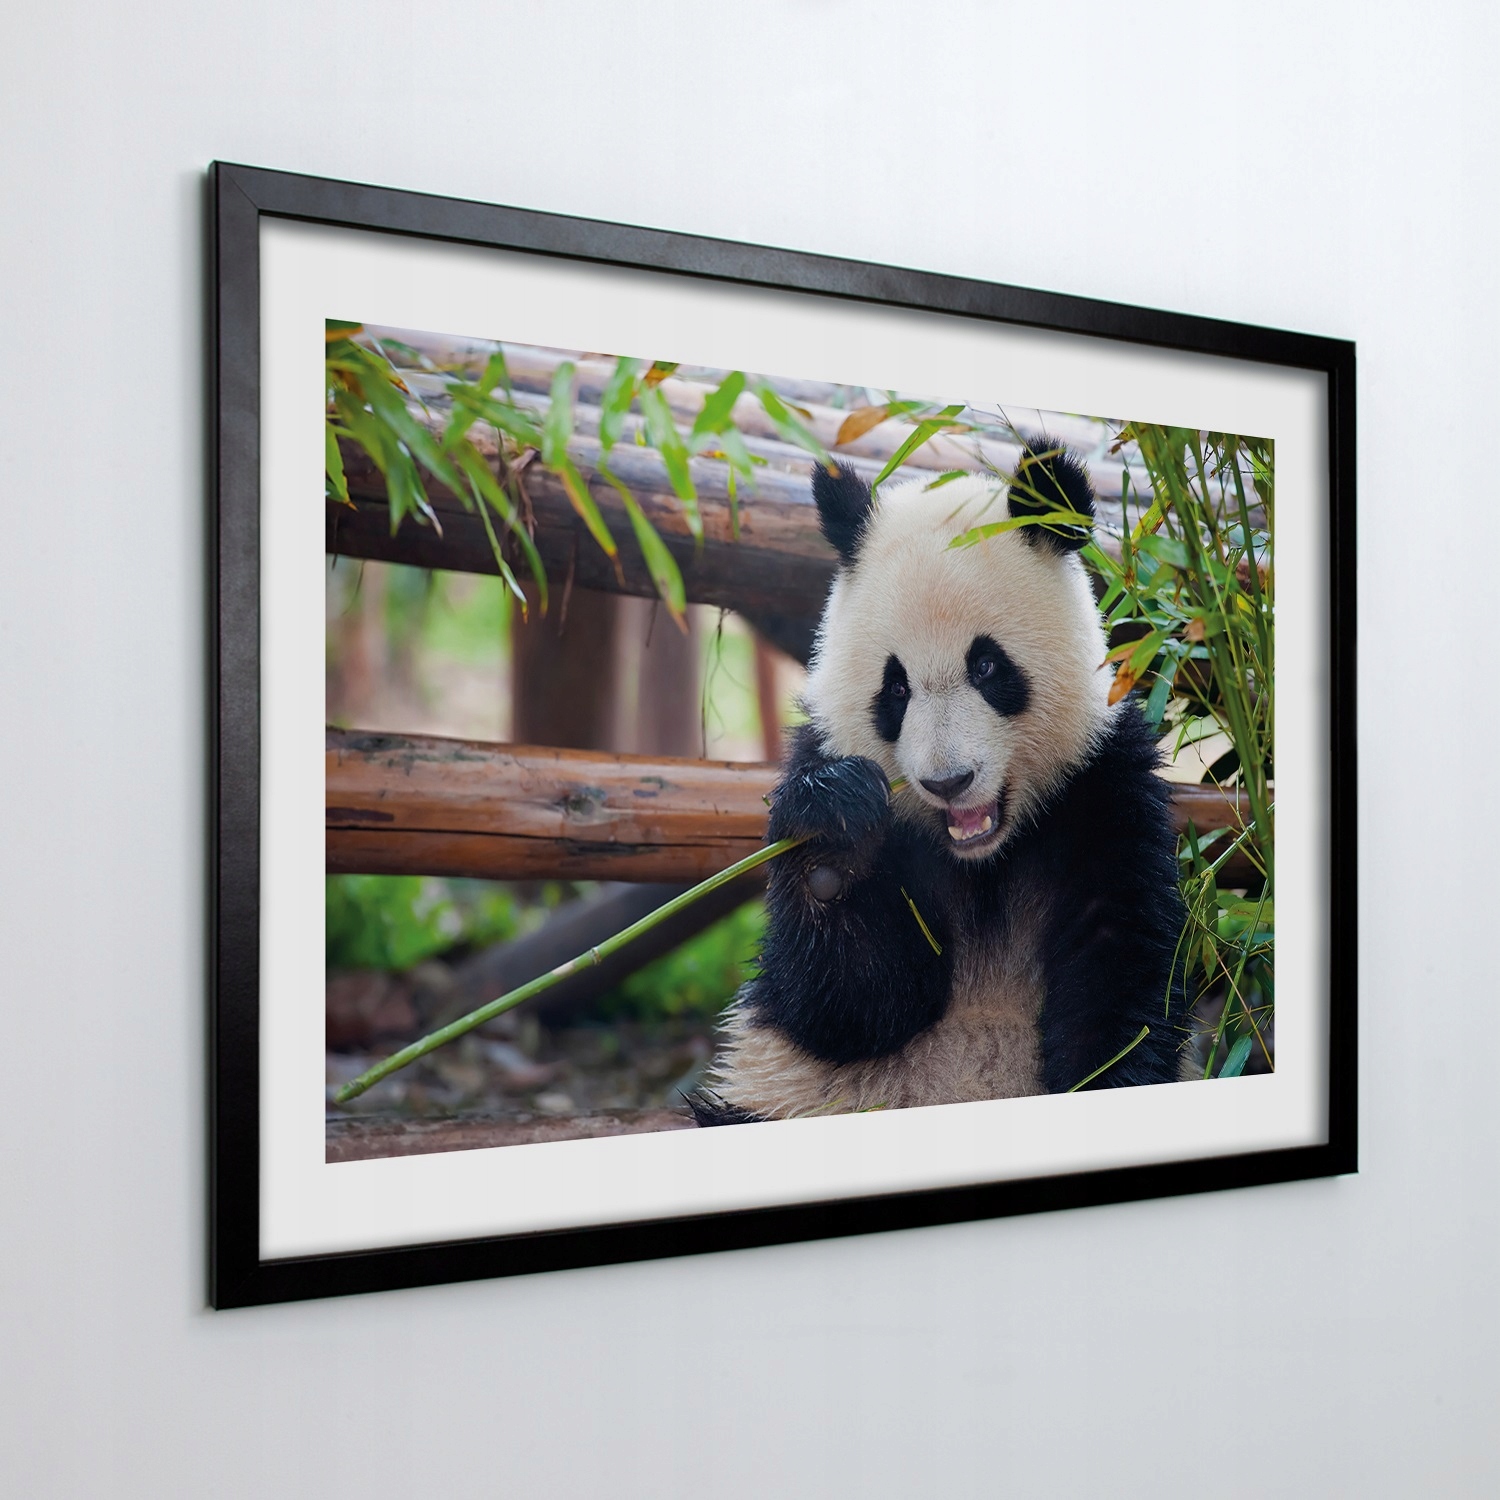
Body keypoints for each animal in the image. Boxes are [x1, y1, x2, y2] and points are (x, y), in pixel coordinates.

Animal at [692, 437, 1188, 1123]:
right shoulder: (824, 753)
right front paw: (832, 840)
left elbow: (1121, 972)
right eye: (895, 688)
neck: (982, 860)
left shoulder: (1103, 788)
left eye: (987, 667)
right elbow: (848, 1009)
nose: (949, 781)